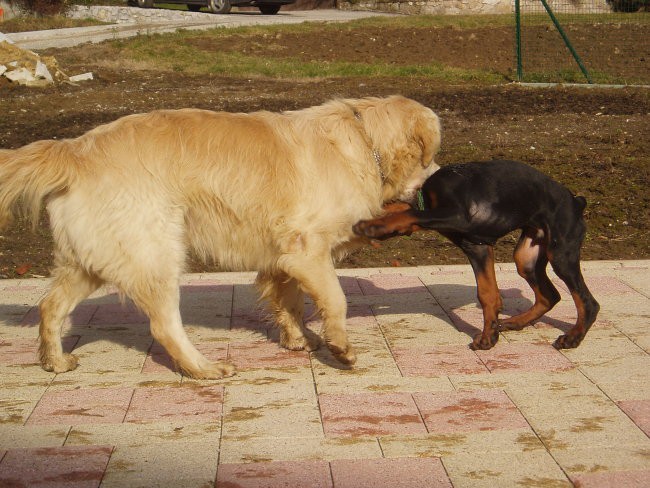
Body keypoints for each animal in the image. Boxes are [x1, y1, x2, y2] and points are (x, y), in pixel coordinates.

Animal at [0, 94, 440, 378]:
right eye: (430, 156)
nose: (439, 176)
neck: (363, 142)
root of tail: (74, 148)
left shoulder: (283, 257)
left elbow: (291, 302)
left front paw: (297, 340)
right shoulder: (307, 250)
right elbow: (335, 299)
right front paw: (341, 348)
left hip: (91, 259)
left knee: (50, 306)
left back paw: (55, 361)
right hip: (156, 252)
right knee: (164, 325)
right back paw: (205, 368)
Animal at [354, 160, 596, 350]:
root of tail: (576, 201)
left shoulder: (459, 216)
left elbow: (409, 213)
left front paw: (372, 226)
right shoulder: (477, 247)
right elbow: (488, 294)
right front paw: (489, 337)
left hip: (561, 254)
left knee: (588, 302)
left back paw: (573, 337)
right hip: (527, 257)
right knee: (550, 295)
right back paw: (515, 322)